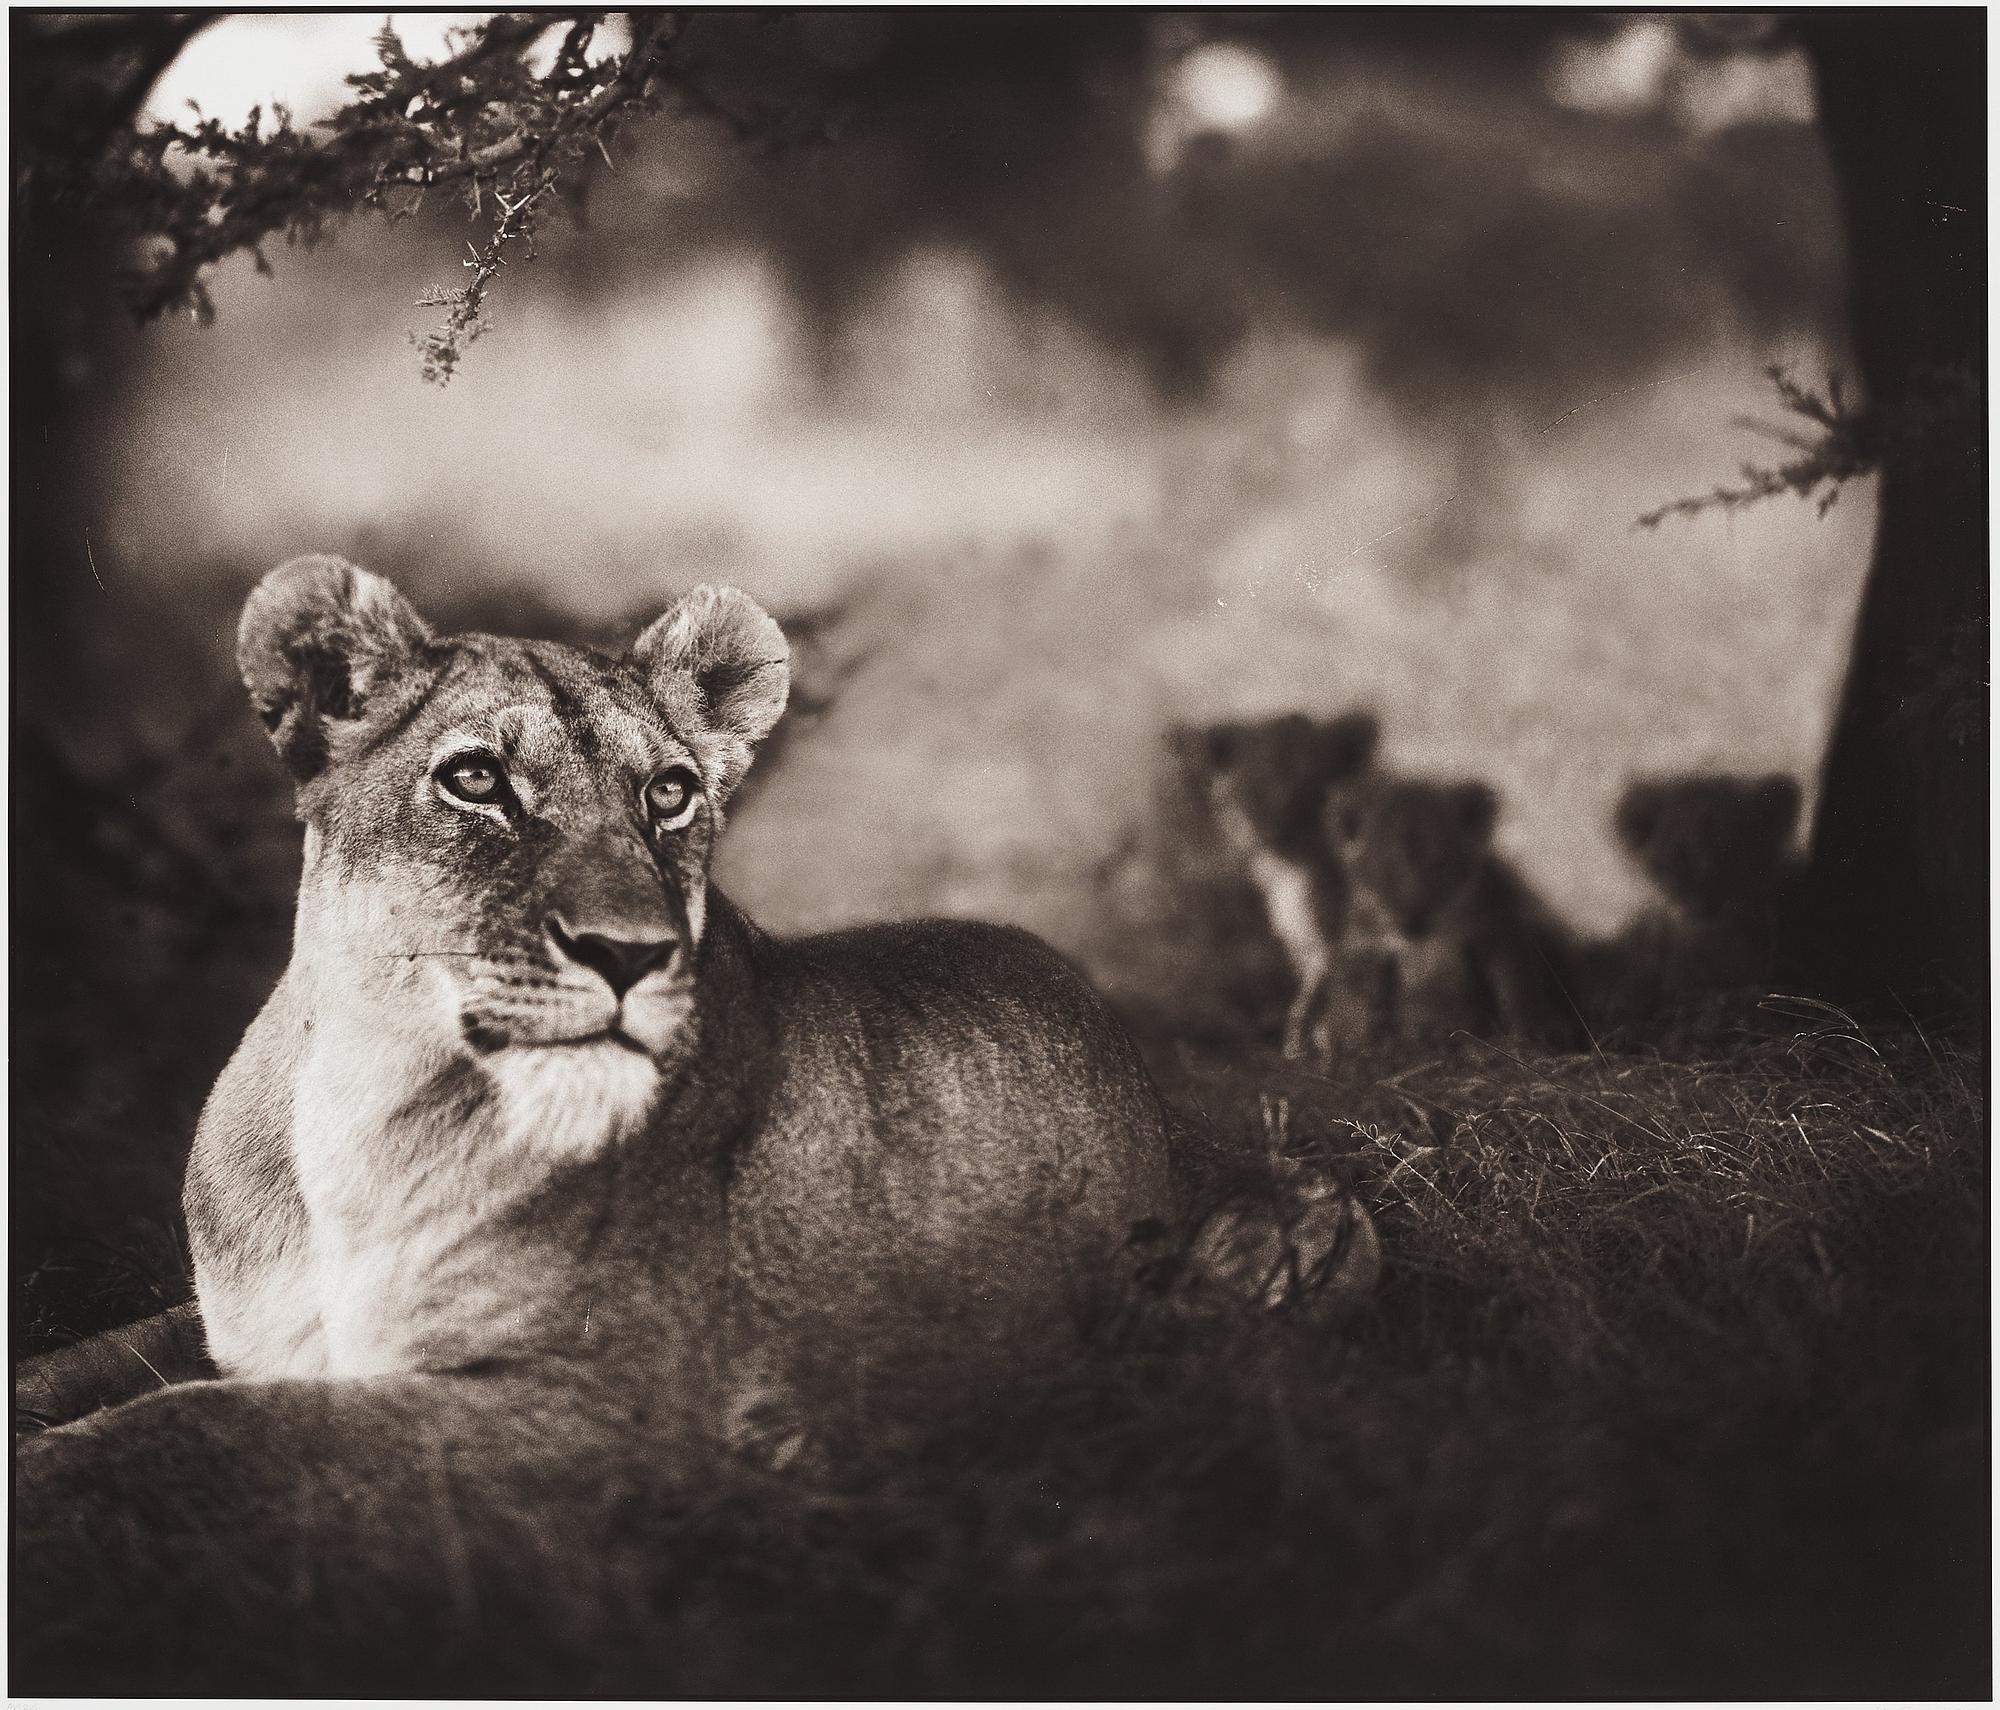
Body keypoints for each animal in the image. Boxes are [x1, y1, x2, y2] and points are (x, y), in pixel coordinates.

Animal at [14, 557, 1376, 1685]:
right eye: (475, 780)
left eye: (667, 793)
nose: (631, 955)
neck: (369, 1088)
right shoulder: (230, 1320)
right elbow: (87, 1371)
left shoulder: (596, 1416)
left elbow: (193, 1436)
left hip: (1296, 1231)